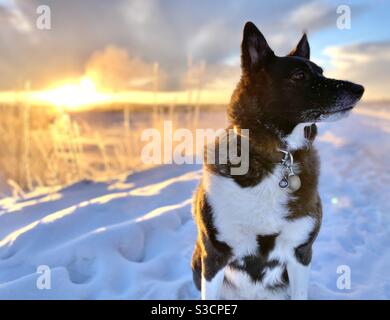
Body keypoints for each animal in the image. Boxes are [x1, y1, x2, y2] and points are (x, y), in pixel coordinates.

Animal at [190, 22, 364, 300]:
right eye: (299, 76)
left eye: (321, 72)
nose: (360, 89)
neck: (278, 155)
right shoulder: (214, 256)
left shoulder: (300, 253)